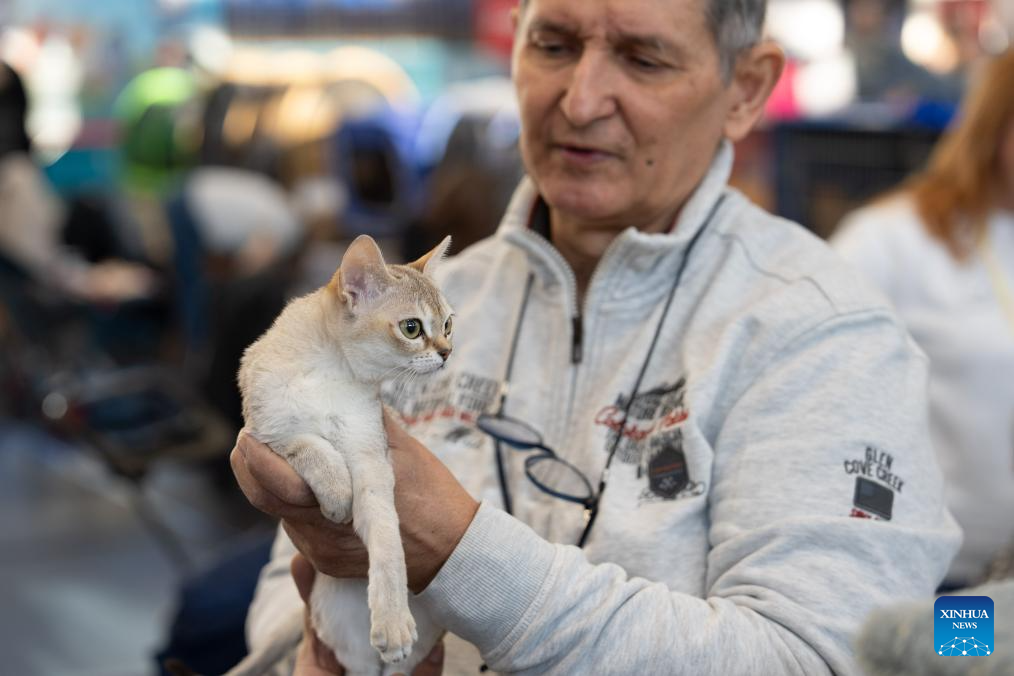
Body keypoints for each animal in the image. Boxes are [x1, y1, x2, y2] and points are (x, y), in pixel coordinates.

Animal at [226, 234, 453, 676]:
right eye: (412, 328)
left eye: (449, 323)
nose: (448, 352)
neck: (331, 373)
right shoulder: (260, 433)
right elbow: (309, 445)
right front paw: (335, 493)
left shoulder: (371, 460)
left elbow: (387, 544)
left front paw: (392, 619)